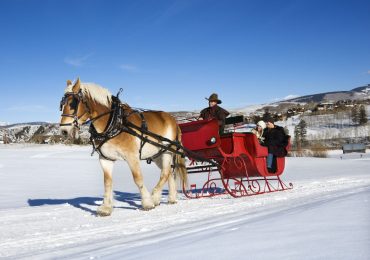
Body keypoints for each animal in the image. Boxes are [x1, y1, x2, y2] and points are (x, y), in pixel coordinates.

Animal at [60, 78, 188, 216]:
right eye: (61, 105)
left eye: (73, 104)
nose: (64, 131)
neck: (115, 122)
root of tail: (173, 121)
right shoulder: (106, 159)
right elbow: (107, 182)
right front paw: (105, 208)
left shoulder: (132, 156)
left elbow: (138, 178)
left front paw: (147, 203)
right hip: (157, 155)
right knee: (169, 172)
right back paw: (171, 198)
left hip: (167, 152)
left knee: (165, 173)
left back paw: (154, 197)